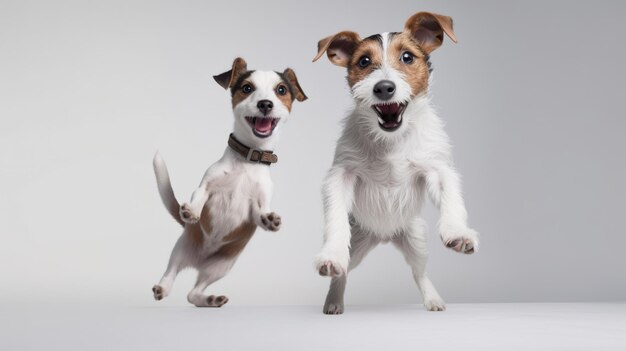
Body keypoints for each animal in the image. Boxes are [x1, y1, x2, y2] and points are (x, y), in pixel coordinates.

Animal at [312, 11, 478, 314]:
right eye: (364, 62)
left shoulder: (437, 167)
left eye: (407, 57)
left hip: (416, 240)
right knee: (344, 273)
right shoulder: (341, 175)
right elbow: (336, 218)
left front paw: (458, 232)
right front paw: (331, 254)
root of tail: (384, 235)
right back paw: (334, 300)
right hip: (358, 242)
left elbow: (452, 199)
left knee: (419, 272)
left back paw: (432, 299)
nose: (384, 88)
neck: (391, 141)